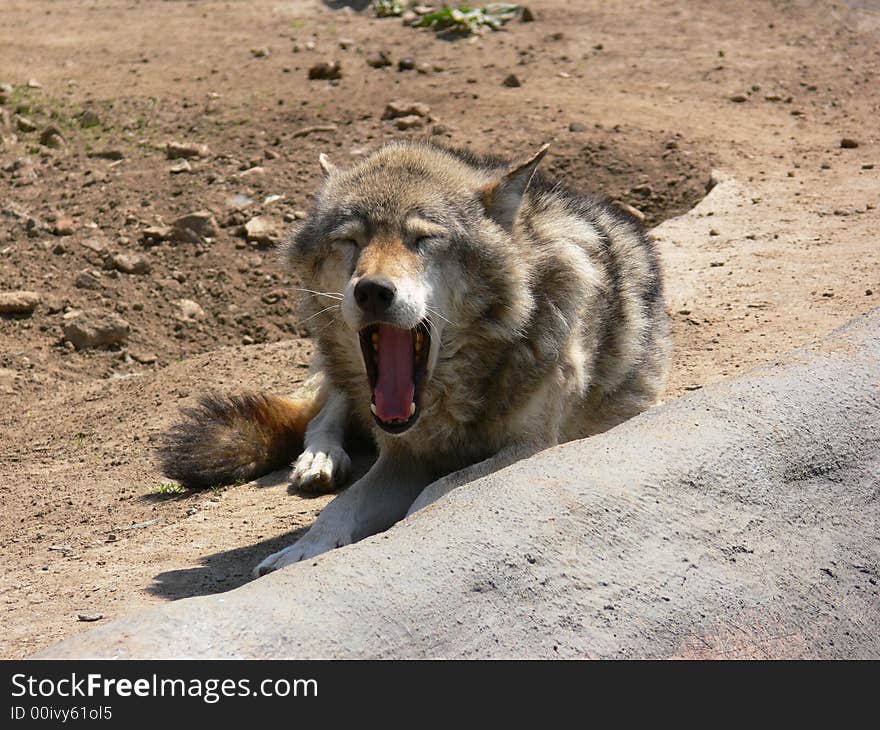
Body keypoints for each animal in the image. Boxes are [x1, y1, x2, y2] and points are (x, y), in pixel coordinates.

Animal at [158, 139, 672, 572]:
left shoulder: (533, 447)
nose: (372, 291)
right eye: (351, 240)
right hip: (338, 373)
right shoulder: (402, 455)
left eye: (424, 239)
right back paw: (319, 461)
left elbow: (436, 492)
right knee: (323, 414)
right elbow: (342, 507)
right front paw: (303, 549)